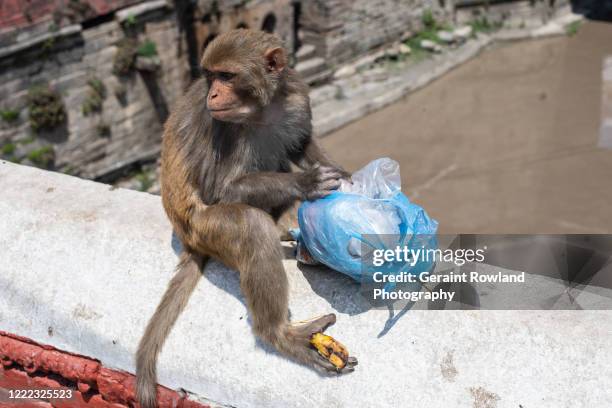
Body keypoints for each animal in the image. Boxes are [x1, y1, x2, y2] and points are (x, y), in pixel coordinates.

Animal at [137, 29, 358, 408]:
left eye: (226, 76)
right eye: (211, 77)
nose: (212, 94)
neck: (262, 108)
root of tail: (184, 234)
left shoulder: (297, 98)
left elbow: (301, 145)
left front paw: (343, 176)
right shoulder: (224, 129)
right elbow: (222, 189)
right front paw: (307, 183)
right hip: (205, 230)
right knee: (251, 228)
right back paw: (279, 334)